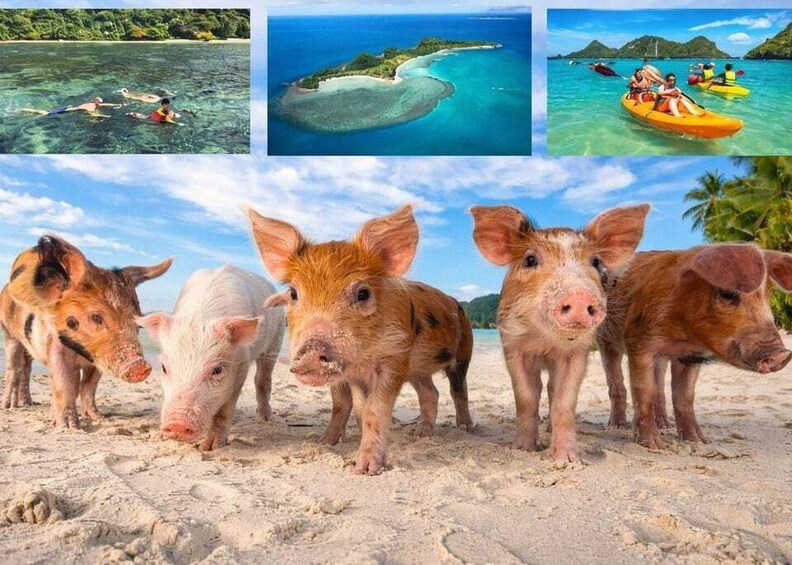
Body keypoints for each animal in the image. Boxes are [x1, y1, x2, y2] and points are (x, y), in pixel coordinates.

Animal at [0, 235, 172, 428]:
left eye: (139, 324)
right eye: (96, 317)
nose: (140, 366)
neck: (81, 352)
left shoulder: (97, 359)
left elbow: (88, 386)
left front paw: (99, 418)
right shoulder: (55, 344)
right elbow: (62, 382)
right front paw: (67, 426)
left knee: (27, 368)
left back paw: (28, 403)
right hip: (9, 334)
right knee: (13, 368)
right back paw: (9, 406)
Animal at [137, 265, 285, 451]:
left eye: (217, 369)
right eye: (163, 367)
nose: (177, 423)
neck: (200, 317)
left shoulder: (241, 364)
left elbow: (224, 410)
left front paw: (210, 447)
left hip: (276, 339)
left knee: (263, 379)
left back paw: (265, 419)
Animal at [247, 205, 474, 475]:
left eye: (363, 293)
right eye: (293, 293)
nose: (312, 347)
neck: (365, 357)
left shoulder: (395, 358)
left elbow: (374, 411)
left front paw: (366, 470)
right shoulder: (354, 374)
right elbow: (353, 407)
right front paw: (327, 443)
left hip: (464, 352)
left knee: (458, 390)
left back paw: (465, 429)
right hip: (419, 370)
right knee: (431, 393)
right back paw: (421, 435)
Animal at [471, 204, 650, 464]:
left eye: (596, 261)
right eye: (530, 260)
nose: (579, 296)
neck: (545, 340)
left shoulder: (577, 353)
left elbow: (564, 402)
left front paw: (567, 460)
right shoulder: (513, 346)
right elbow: (526, 398)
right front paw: (522, 450)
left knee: (552, 388)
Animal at [597, 244, 792, 449]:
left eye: (768, 295)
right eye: (727, 293)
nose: (782, 354)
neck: (682, 336)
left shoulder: (690, 356)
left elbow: (685, 396)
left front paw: (699, 441)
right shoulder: (639, 342)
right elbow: (644, 392)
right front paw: (654, 446)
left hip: (660, 359)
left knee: (660, 388)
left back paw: (665, 425)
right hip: (605, 339)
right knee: (617, 382)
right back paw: (616, 427)